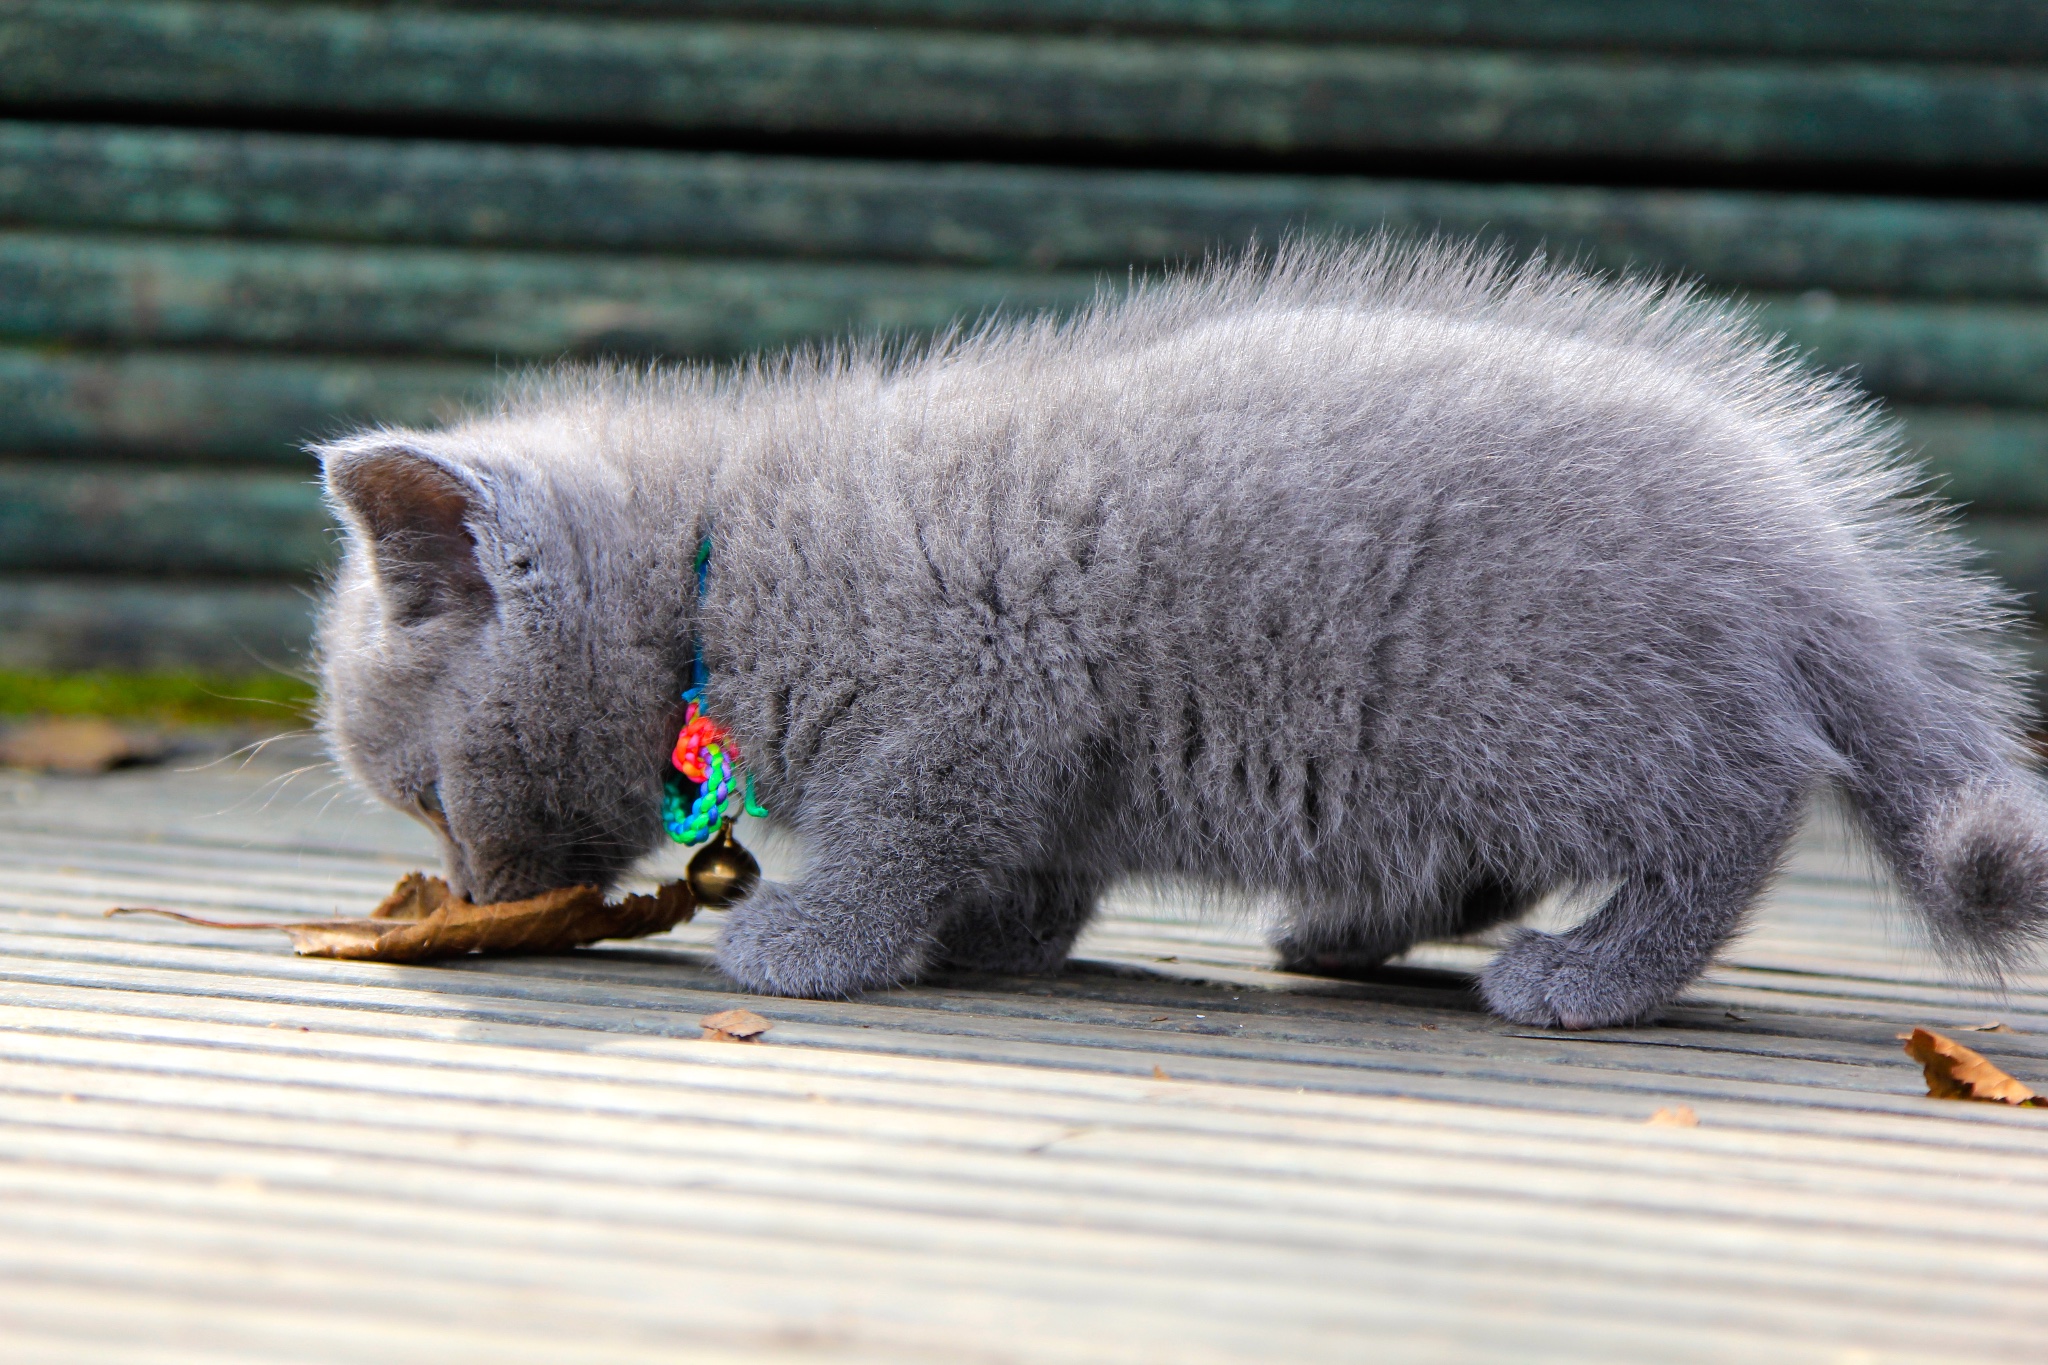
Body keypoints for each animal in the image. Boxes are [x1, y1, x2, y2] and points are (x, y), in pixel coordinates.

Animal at [319, 240, 2048, 1031]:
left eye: (424, 796)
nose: (475, 895)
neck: (715, 563)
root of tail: (1801, 537)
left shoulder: (965, 710)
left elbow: (899, 839)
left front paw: (814, 945)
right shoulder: (1042, 756)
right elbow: (1029, 861)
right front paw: (1002, 939)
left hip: (1561, 708)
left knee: (1732, 817)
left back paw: (1594, 973)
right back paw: (1346, 930)